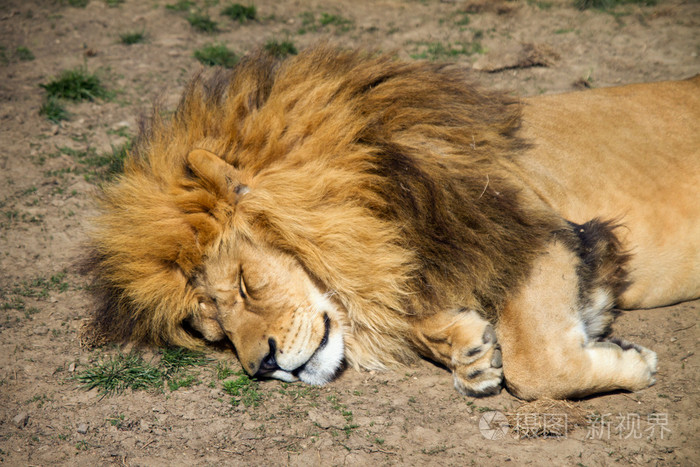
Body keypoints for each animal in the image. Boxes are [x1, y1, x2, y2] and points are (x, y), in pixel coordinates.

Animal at [87, 45, 700, 400]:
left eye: (244, 284)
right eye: (215, 333)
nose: (263, 367)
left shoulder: (528, 226)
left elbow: (538, 369)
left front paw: (631, 362)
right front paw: (468, 350)